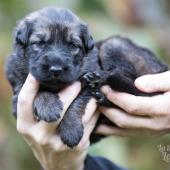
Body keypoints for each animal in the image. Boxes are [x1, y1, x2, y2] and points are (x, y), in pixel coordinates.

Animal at [5, 6, 168, 147]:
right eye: (39, 43)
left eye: (72, 45)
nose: (56, 69)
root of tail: (162, 66)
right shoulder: (18, 91)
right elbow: (39, 90)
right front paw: (49, 106)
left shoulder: (86, 84)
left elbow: (76, 102)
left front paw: (71, 130)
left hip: (114, 45)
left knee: (133, 82)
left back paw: (102, 77)